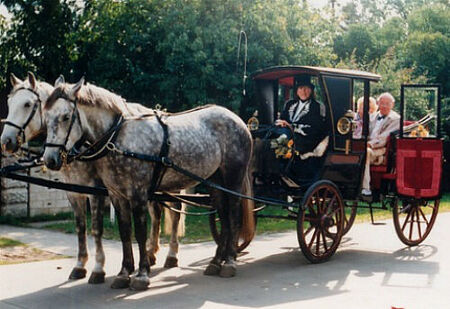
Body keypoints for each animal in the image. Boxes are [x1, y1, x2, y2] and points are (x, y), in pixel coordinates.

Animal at [0, 73, 185, 284]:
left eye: (27, 104)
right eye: (9, 102)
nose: (6, 141)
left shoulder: (95, 191)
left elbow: (97, 228)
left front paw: (98, 269)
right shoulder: (74, 192)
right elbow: (81, 228)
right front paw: (80, 265)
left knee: (175, 212)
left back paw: (171, 255)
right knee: (156, 213)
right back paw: (152, 252)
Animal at [43, 78, 255, 290]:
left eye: (66, 117)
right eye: (46, 117)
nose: (50, 160)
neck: (118, 138)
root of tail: (238, 120)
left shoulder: (137, 194)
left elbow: (140, 233)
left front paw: (142, 274)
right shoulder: (116, 195)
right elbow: (125, 233)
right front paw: (124, 273)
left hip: (233, 178)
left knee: (234, 215)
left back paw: (229, 261)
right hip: (215, 182)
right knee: (224, 216)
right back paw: (216, 261)